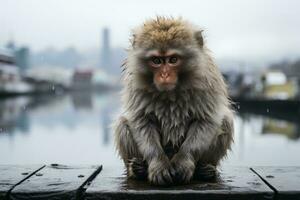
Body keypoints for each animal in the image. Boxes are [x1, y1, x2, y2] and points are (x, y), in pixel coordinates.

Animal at [113, 17, 233, 186]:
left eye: (173, 59)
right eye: (156, 60)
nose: (165, 75)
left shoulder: (208, 84)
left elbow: (206, 120)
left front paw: (184, 162)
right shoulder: (135, 87)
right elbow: (141, 120)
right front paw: (158, 164)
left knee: (226, 121)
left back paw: (205, 170)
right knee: (122, 123)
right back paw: (138, 169)